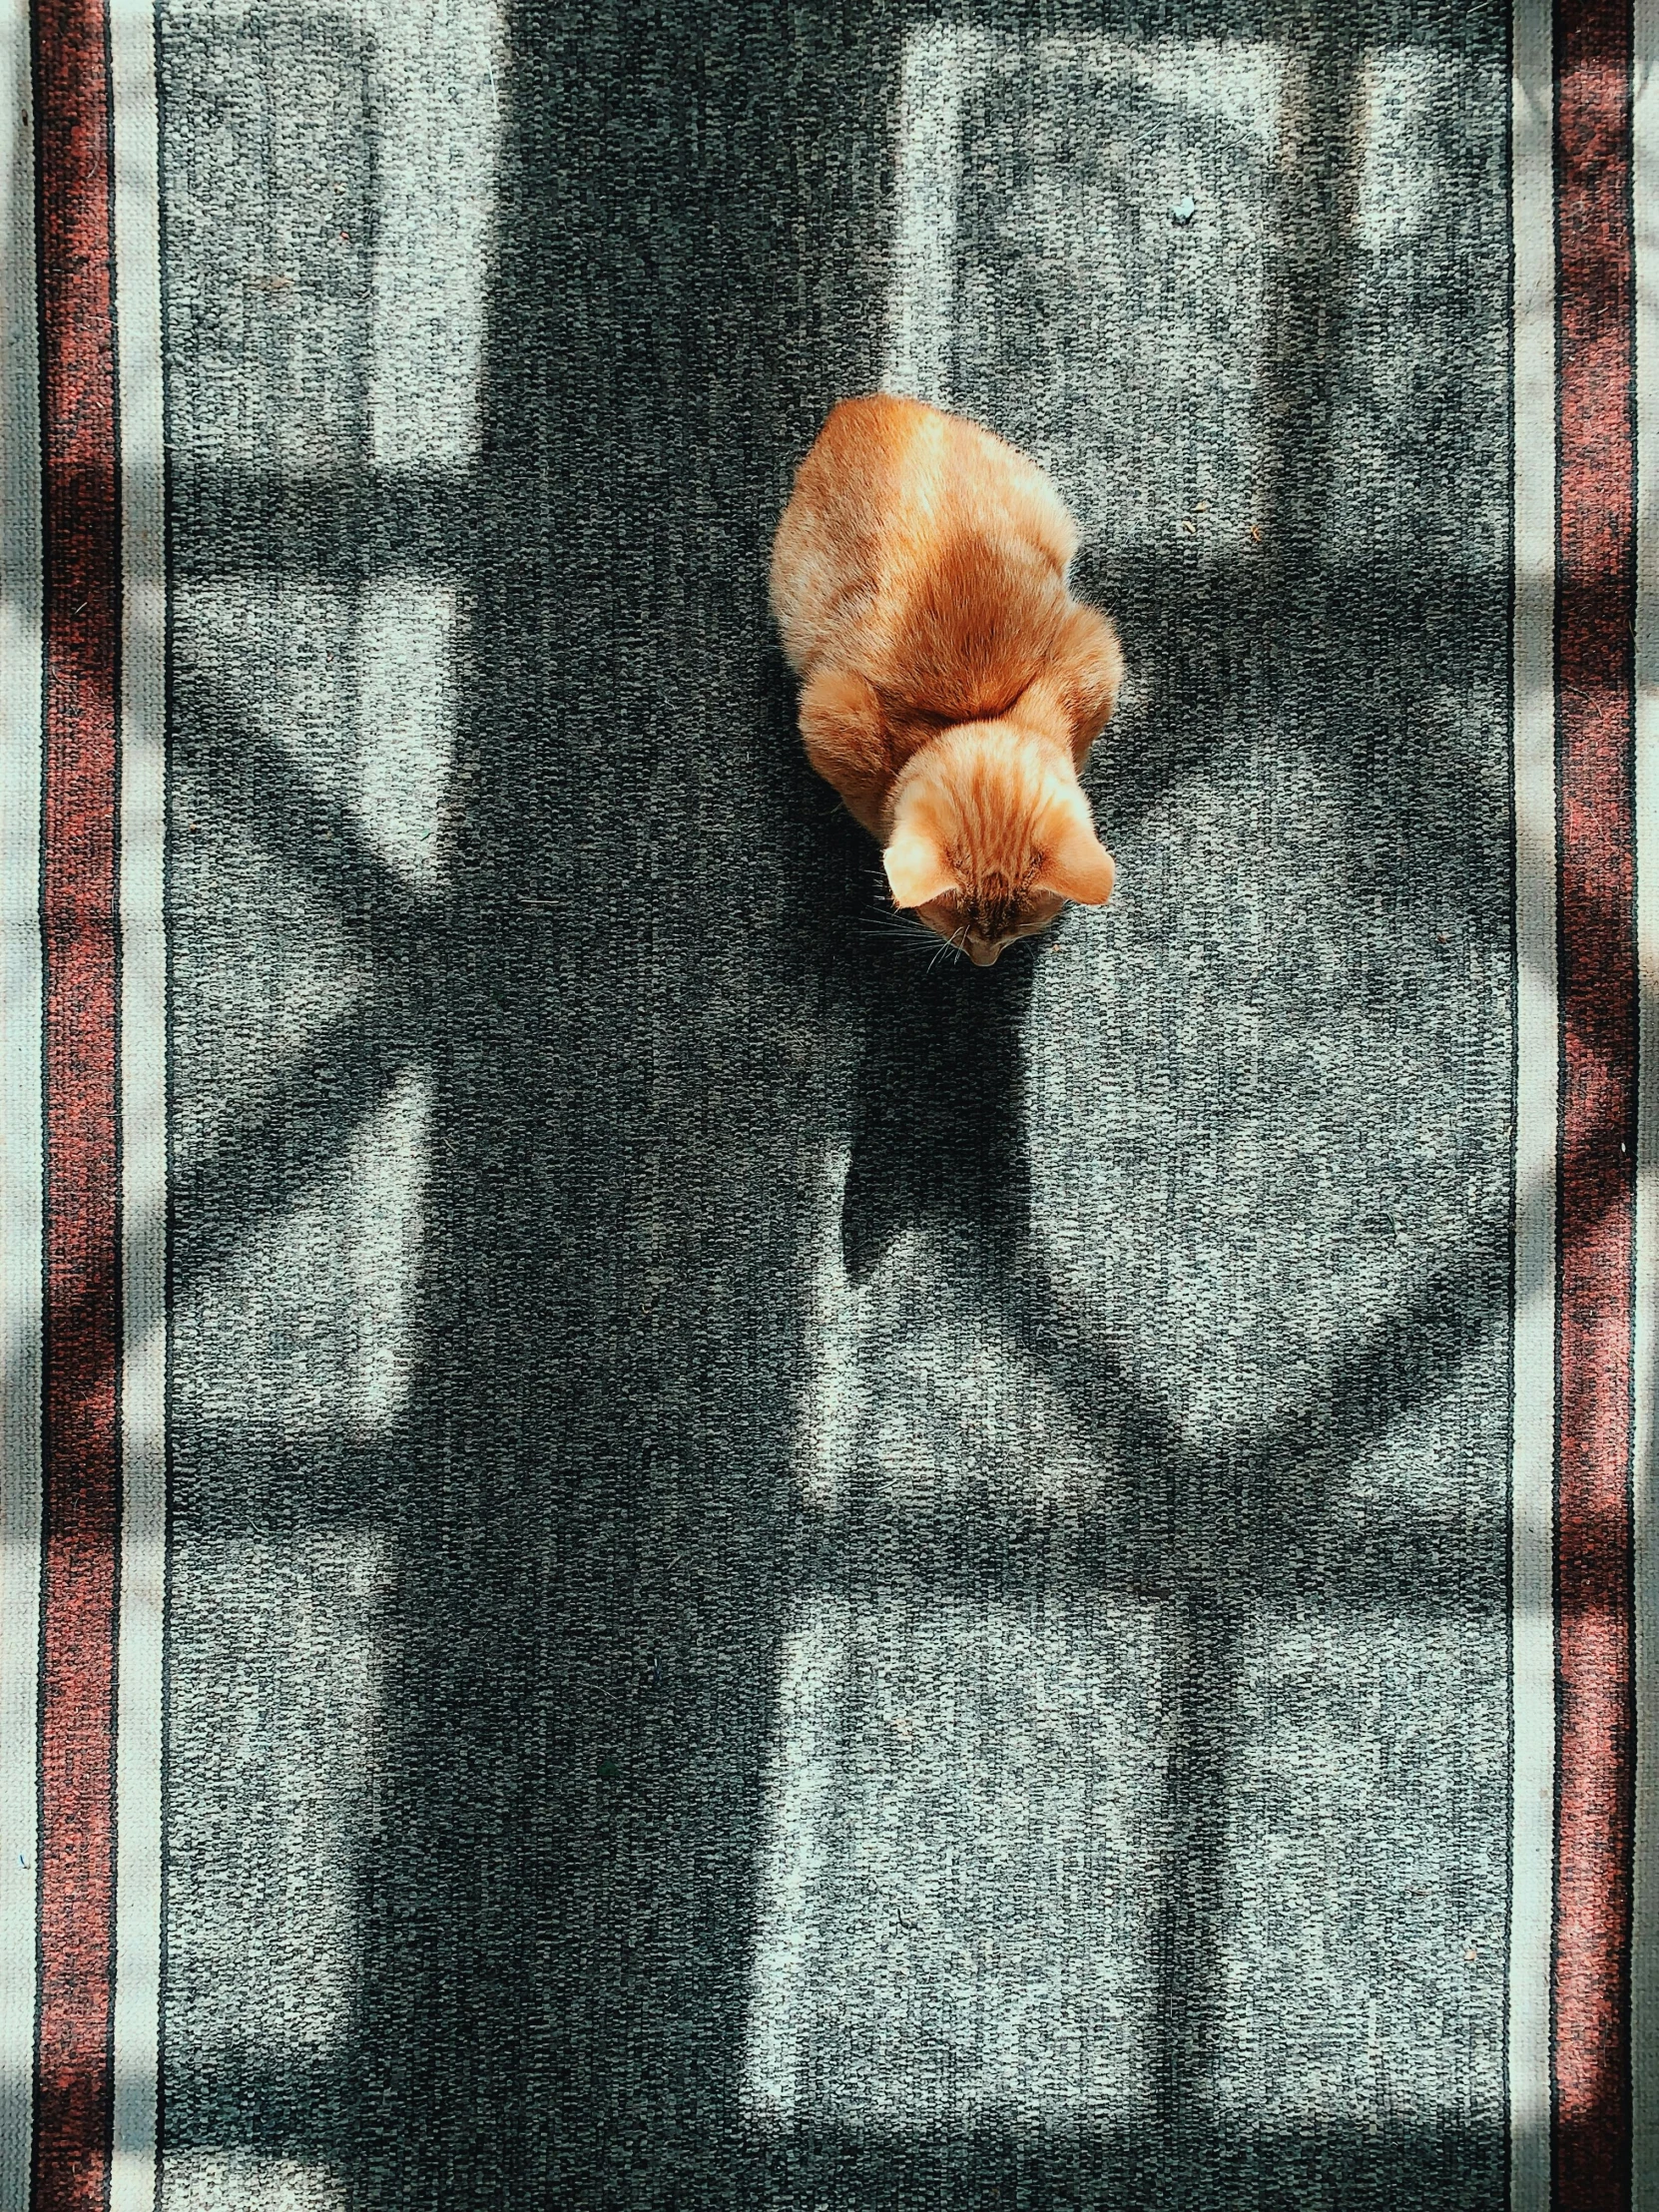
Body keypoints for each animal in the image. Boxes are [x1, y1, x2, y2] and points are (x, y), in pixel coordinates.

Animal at [774, 393, 1123, 964]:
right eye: (956, 927)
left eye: (1016, 930)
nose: (985, 963)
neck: (968, 714)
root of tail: (854, 407)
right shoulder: (831, 710)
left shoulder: (1094, 649)